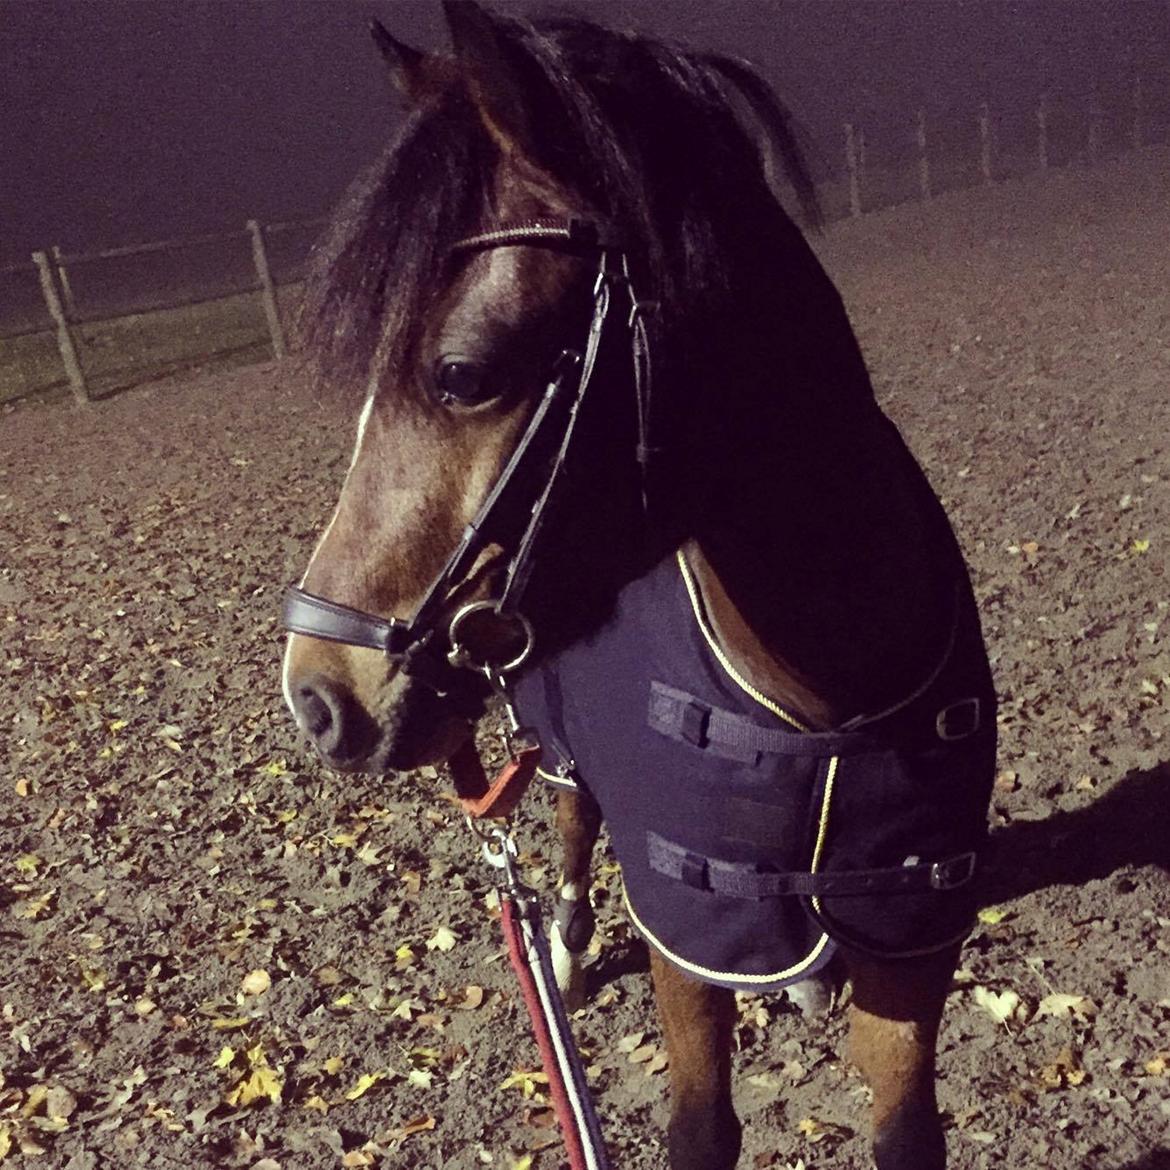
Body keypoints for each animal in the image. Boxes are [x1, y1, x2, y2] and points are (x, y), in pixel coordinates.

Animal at [280, 4, 998, 1168]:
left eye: (463, 374)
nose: (317, 693)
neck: (829, 695)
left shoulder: (913, 934)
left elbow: (904, 1127)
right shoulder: (687, 929)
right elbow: (700, 1123)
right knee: (575, 811)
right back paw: (568, 945)